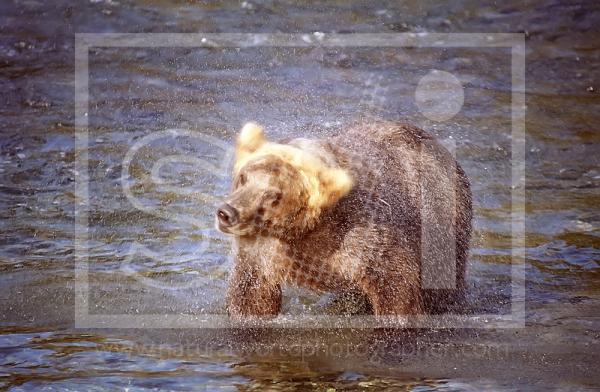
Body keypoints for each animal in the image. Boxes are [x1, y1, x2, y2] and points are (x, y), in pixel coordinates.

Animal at [217, 121, 474, 318]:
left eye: (273, 194)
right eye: (243, 176)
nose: (227, 212)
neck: (307, 230)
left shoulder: (365, 235)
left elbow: (397, 288)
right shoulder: (263, 248)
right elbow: (251, 294)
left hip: (443, 229)